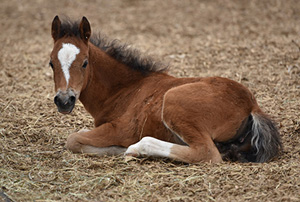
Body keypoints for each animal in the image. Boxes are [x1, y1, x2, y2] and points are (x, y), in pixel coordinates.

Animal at [48, 16, 282, 164]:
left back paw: (138, 149)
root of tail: (252, 105)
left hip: (174, 101)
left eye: (85, 63)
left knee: (207, 154)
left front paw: (122, 149)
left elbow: (73, 139)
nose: (64, 100)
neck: (125, 90)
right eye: (51, 63)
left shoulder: (121, 129)